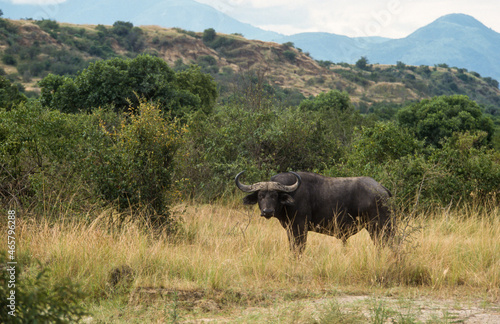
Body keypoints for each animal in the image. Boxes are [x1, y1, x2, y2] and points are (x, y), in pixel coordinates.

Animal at [234, 171, 394, 254]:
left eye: (274, 195)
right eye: (261, 196)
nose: (267, 211)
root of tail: (382, 189)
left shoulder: (300, 227)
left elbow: (299, 248)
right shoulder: (290, 228)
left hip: (379, 226)